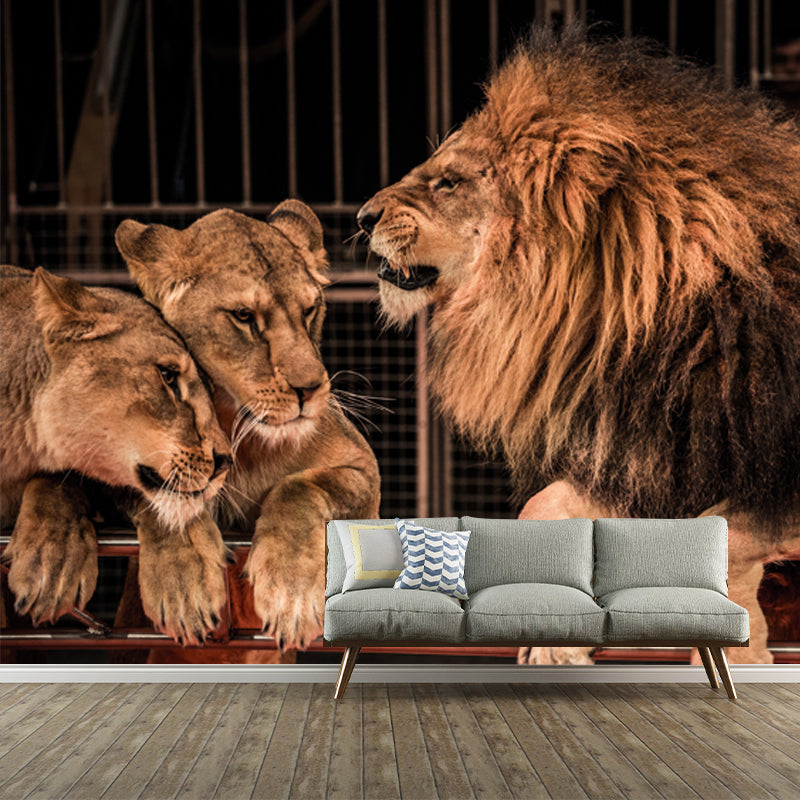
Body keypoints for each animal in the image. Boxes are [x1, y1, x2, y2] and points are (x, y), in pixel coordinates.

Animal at [114, 200, 381, 659]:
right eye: (244, 316)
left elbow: (300, 487)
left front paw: (291, 593)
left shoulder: (366, 476)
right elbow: (159, 493)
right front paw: (184, 585)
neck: (240, 432)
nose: (311, 389)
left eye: (309, 310)